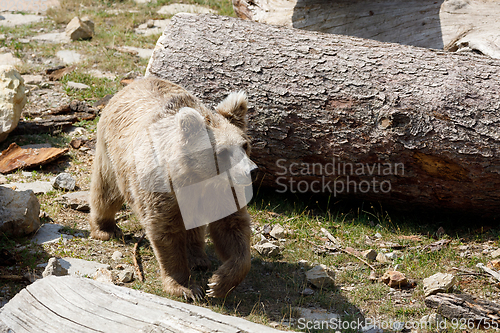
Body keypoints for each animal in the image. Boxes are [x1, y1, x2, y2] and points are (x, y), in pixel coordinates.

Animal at [88, 76, 256, 300]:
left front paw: (218, 283)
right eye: (222, 152)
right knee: (107, 191)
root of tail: (134, 83)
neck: (198, 177)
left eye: (244, 145)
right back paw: (104, 228)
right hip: (112, 152)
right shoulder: (161, 188)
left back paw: (198, 258)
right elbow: (166, 231)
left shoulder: (221, 191)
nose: (251, 171)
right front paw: (185, 287)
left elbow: (232, 227)